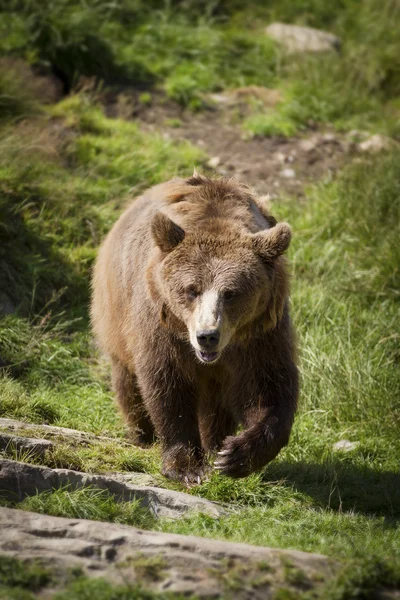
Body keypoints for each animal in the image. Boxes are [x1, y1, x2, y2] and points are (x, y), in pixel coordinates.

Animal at [90, 172, 296, 482]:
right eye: (191, 289)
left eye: (231, 293)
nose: (207, 336)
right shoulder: (161, 325)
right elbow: (167, 386)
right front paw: (186, 466)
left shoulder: (261, 333)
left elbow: (268, 387)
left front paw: (233, 455)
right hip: (115, 314)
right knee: (127, 380)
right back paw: (142, 434)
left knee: (215, 406)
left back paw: (213, 444)